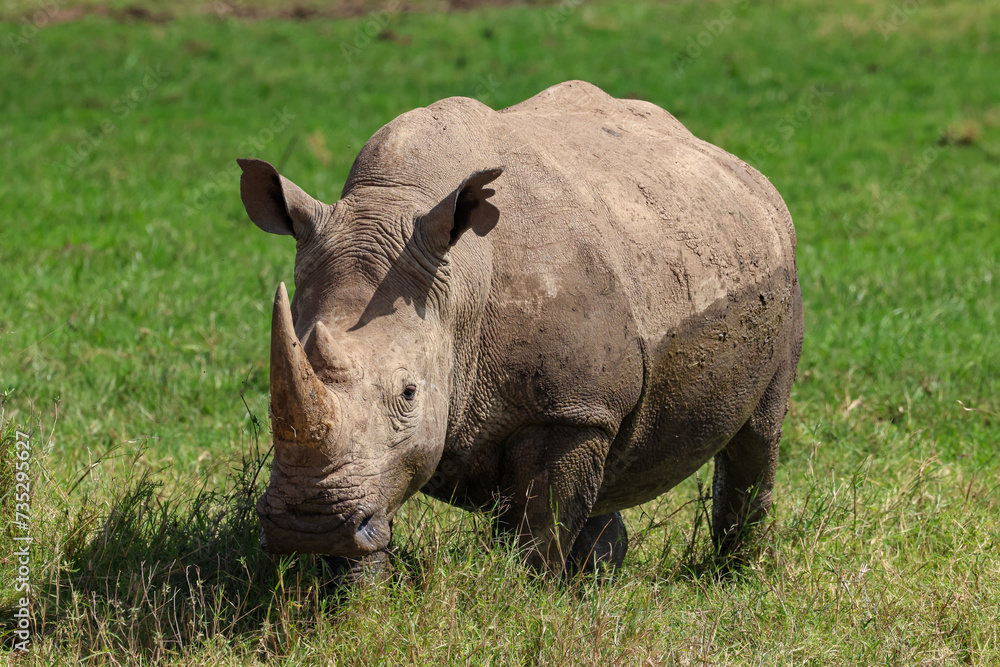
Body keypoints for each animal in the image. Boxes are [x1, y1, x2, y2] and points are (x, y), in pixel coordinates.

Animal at [238, 80, 803, 578]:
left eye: (409, 393)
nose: (305, 525)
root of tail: (738, 167)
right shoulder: (373, 464)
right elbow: (372, 509)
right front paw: (357, 604)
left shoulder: (569, 409)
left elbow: (541, 526)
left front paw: (526, 600)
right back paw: (599, 580)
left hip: (782, 265)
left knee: (759, 432)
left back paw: (733, 574)